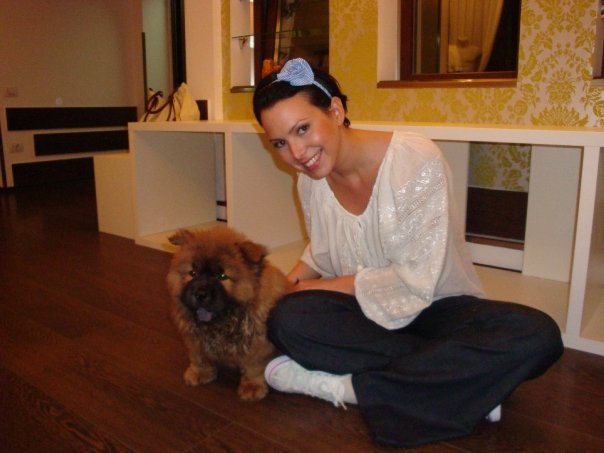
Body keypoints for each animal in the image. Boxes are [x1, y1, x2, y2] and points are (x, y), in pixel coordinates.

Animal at [166, 226, 292, 401]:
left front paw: (252, 387)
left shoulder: (258, 345)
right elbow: (199, 358)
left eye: (222, 276)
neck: (222, 324)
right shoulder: (194, 339)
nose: (200, 294)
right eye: (193, 273)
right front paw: (199, 373)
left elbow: (254, 367)